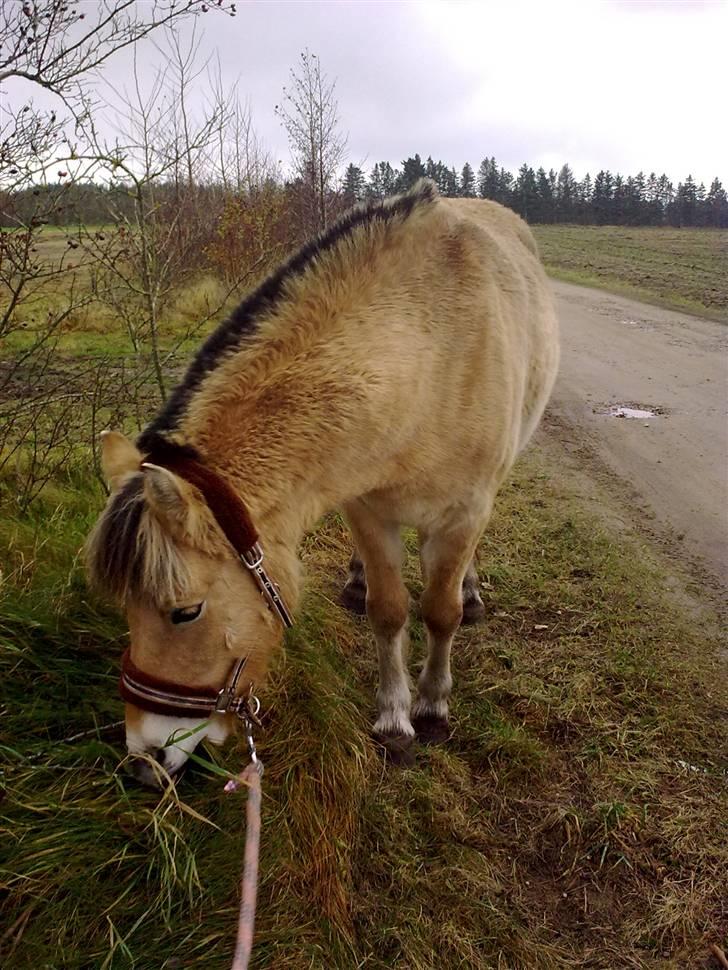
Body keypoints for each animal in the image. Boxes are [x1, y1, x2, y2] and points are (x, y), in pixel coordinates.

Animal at [88, 182, 560, 784]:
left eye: (186, 612)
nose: (144, 761)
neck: (425, 356)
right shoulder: (367, 509)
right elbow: (389, 610)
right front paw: (393, 720)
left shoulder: (465, 513)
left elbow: (440, 611)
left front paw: (430, 708)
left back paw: (470, 590)